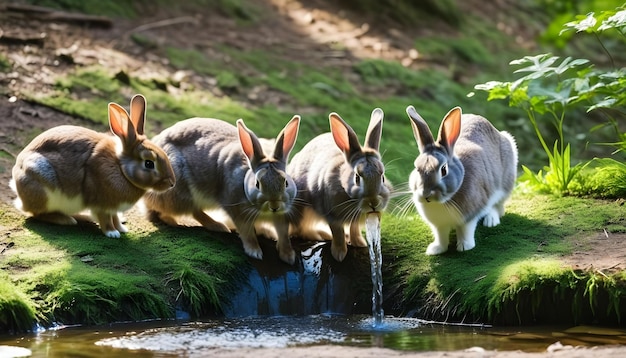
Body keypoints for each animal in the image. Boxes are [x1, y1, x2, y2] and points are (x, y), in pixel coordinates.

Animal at [9, 94, 176, 238]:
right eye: (149, 163)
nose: (172, 183)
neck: (121, 168)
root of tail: (16, 181)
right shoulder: (102, 204)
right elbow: (106, 219)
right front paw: (112, 233)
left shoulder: (113, 208)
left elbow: (115, 217)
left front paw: (121, 229)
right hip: (42, 182)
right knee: (38, 213)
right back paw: (66, 220)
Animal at [143, 116, 298, 264]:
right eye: (257, 184)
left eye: (285, 182)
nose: (274, 205)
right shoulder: (237, 210)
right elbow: (247, 233)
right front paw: (255, 251)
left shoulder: (282, 216)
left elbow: (283, 234)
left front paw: (288, 256)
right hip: (180, 191)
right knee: (187, 211)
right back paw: (216, 226)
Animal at [288, 107, 390, 262]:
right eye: (357, 177)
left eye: (382, 177)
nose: (373, 203)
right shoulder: (332, 215)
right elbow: (338, 233)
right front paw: (339, 254)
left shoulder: (355, 218)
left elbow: (354, 228)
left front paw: (359, 243)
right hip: (301, 210)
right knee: (302, 230)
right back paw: (321, 235)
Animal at [404, 105, 516, 256]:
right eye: (417, 168)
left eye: (443, 170)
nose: (426, 194)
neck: (444, 201)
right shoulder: (438, 225)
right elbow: (441, 236)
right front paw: (435, 249)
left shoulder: (469, 216)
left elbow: (466, 230)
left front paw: (464, 246)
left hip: (505, 184)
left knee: (497, 207)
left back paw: (491, 221)